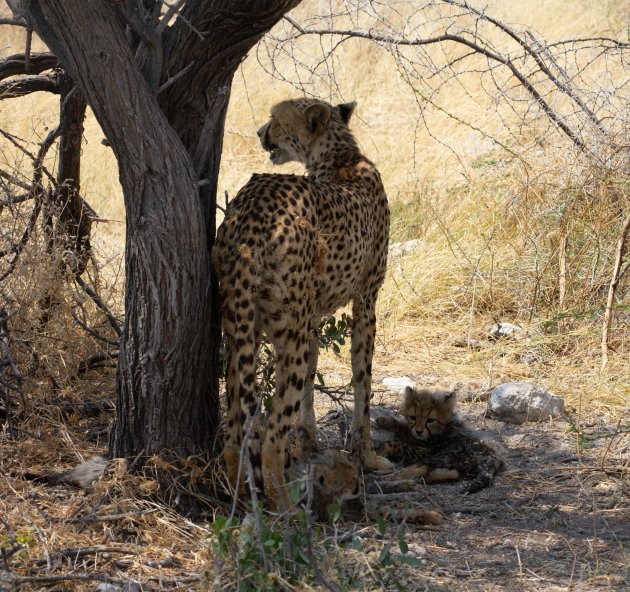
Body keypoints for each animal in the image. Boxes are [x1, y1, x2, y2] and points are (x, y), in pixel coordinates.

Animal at [215, 98, 392, 508]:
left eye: (275, 119)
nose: (260, 132)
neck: (341, 156)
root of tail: (255, 203)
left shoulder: (311, 316)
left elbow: (313, 376)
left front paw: (309, 442)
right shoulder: (366, 302)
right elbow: (363, 381)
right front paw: (368, 455)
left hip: (240, 327)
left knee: (235, 431)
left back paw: (235, 497)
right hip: (284, 331)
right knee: (270, 437)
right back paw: (285, 508)